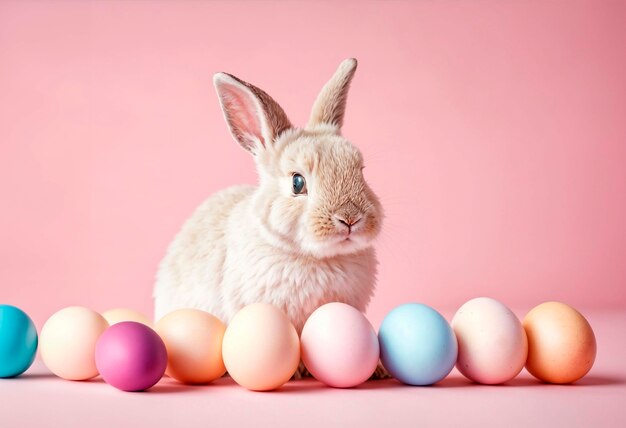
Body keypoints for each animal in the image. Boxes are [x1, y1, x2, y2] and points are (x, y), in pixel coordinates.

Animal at [154, 57, 382, 378]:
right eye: (297, 183)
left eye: (360, 171)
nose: (350, 218)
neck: (318, 258)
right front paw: (297, 369)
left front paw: (379, 370)